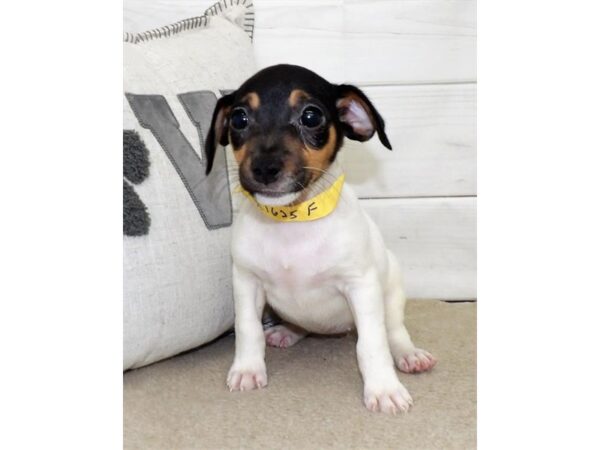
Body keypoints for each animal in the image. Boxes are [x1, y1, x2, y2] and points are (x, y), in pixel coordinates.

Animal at [206, 64, 436, 414]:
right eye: (239, 119)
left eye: (311, 116)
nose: (265, 169)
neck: (293, 221)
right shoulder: (246, 282)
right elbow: (248, 329)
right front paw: (247, 368)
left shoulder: (361, 287)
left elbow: (372, 344)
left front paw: (383, 389)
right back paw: (287, 332)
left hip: (392, 294)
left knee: (394, 331)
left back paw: (409, 355)